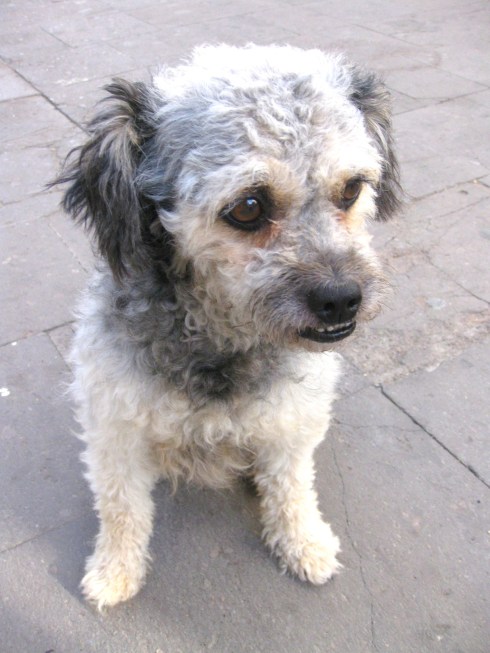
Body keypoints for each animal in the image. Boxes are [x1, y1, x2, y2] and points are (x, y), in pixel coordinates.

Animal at [55, 44, 400, 610]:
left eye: (352, 188)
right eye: (248, 207)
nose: (342, 300)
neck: (219, 345)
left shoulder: (292, 422)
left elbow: (292, 487)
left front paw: (304, 544)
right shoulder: (114, 430)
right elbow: (122, 508)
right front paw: (114, 571)